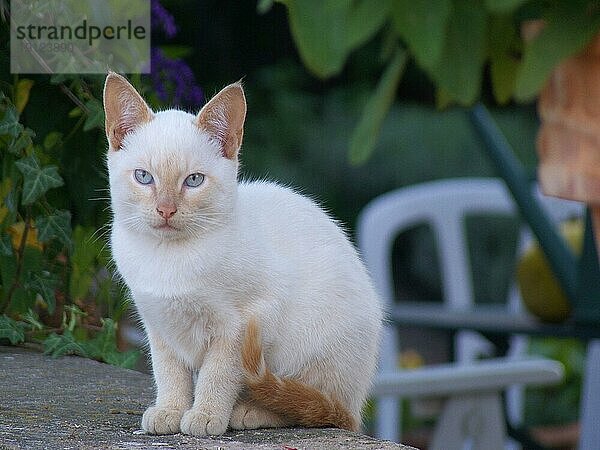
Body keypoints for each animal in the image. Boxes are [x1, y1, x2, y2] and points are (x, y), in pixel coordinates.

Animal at [105, 73, 382, 436]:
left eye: (194, 180)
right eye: (143, 177)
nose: (166, 210)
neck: (170, 259)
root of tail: (356, 404)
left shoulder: (246, 321)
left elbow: (219, 373)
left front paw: (206, 415)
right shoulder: (160, 324)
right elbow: (169, 372)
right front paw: (170, 411)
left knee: (316, 407)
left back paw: (251, 411)